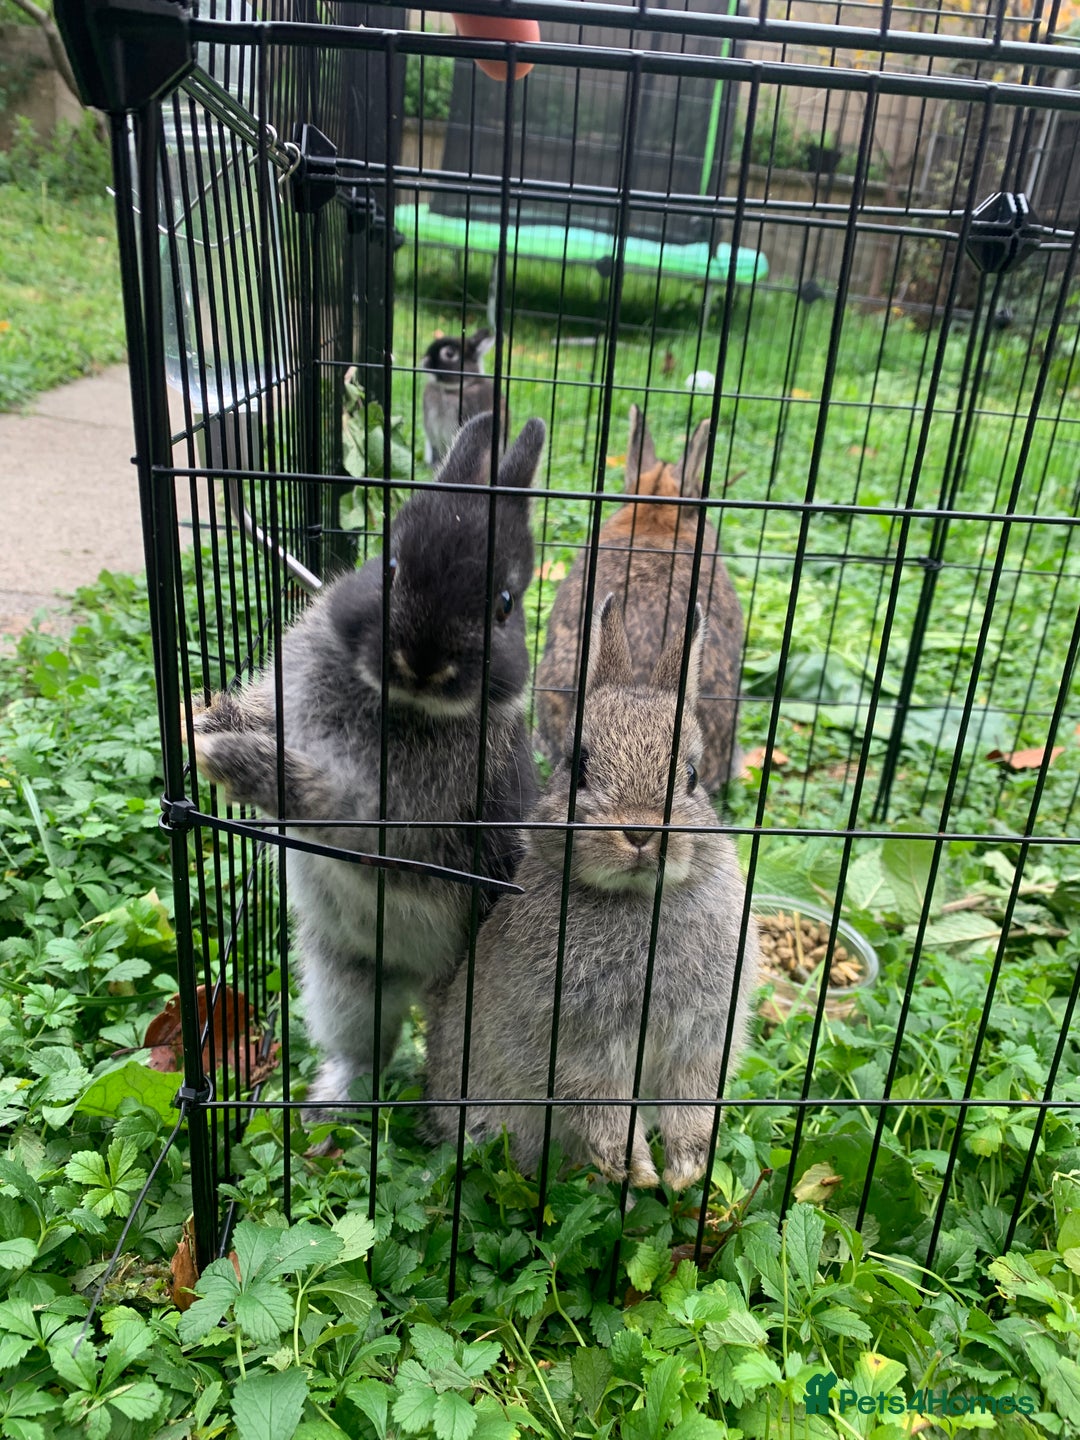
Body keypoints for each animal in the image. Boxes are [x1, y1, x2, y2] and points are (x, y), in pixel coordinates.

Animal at [192, 413, 544, 1116]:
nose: (422, 659)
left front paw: (229, 761)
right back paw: (328, 1108)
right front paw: (207, 720)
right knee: (364, 1047)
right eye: (390, 563)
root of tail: (417, 976)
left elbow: (323, 802)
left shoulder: (392, 822)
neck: (394, 699)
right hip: (343, 975)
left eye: (504, 604)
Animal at [425, 595, 760, 1191]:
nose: (641, 831)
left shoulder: (703, 1037)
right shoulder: (574, 1046)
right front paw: (637, 1170)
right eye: (577, 766)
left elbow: (692, 1097)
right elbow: (595, 1100)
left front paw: (687, 1170)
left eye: (692, 775)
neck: (636, 900)